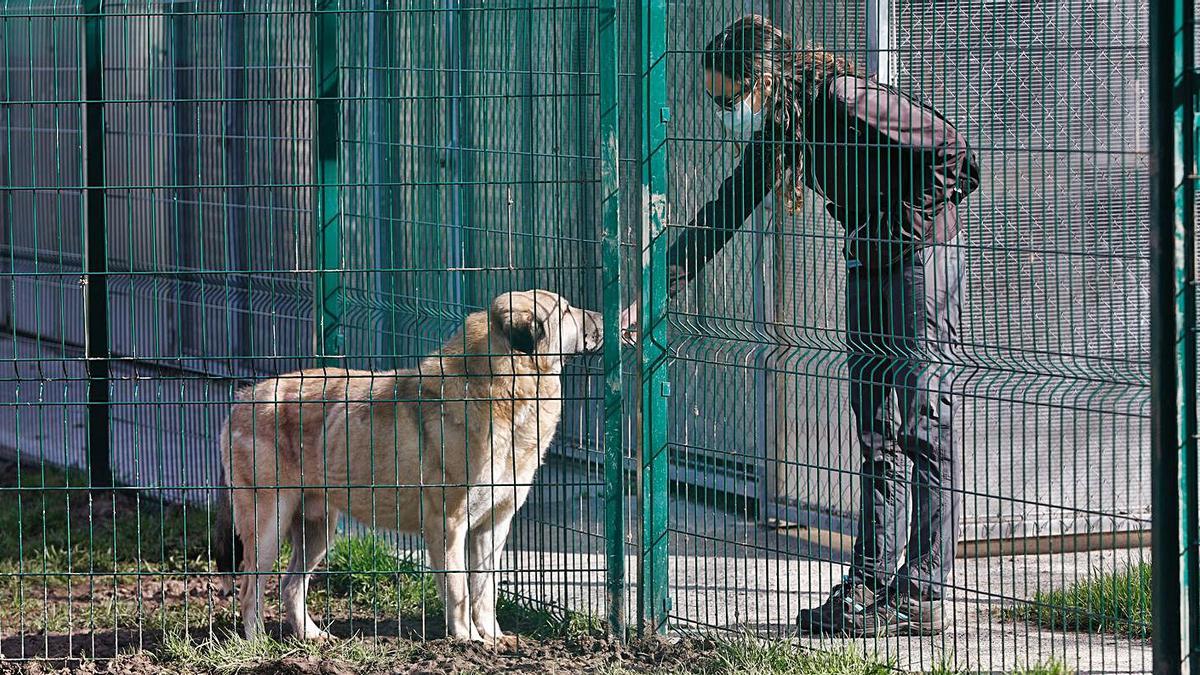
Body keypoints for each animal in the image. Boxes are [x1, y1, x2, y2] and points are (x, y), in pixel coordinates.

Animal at [212, 288, 604, 638]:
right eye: (565, 311)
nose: (604, 319)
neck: (502, 388)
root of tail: (243, 398)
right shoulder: (447, 526)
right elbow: (459, 591)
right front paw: (469, 641)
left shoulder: (492, 527)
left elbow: (484, 592)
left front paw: (493, 639)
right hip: (268, 525)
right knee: (251, 589)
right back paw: (258, 643)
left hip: (318, 529)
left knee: (291, 584)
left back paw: (311, 636)